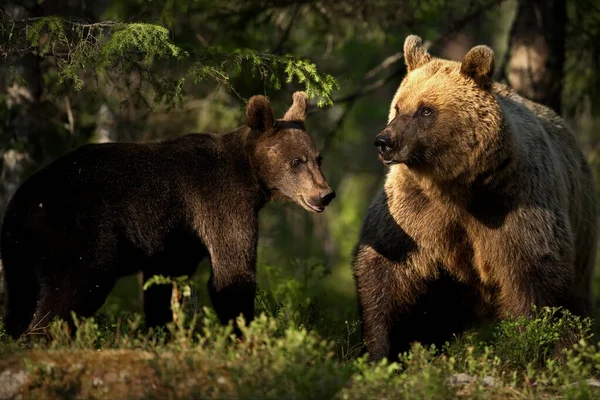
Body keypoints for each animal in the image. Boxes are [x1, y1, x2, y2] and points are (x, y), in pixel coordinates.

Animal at [0, 90, 332, 338]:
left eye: (318, 158)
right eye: (297, 161)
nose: (325, 194)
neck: (250, 176)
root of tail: (23, 201)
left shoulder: (177, 237)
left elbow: (163, 282)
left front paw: (162, 331)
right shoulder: (221, 202)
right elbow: (233, 271)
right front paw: (244, 334)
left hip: (20, 253)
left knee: (20, 300)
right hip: (74, 230)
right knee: (76, 284)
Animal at [352, 36, 596, 362]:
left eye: (425, 110)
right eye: (398, 106)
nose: (384, 142)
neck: (455, 186)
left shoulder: (514, 204)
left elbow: (532, 275)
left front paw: (524, 346)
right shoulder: (414, 211)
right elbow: (385, 268)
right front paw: (381, 349)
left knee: (574, 305)